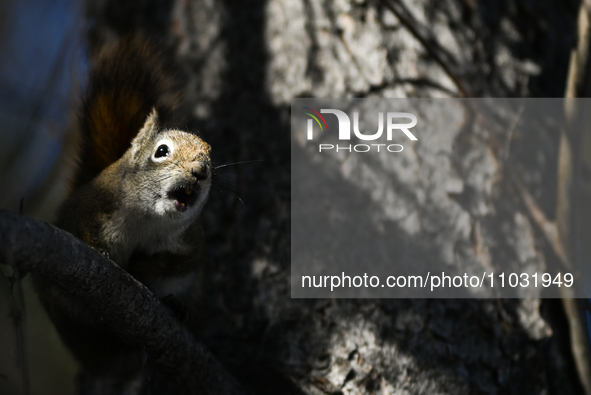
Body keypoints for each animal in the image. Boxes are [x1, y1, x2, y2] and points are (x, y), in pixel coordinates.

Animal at [31, 36, 213, 392]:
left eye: (210, 162)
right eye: (161, 151)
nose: (199, 173)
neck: (148, 220)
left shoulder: (191, 241)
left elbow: (181, 262)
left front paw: (144, 266)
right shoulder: (90, 210)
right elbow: (84, 236)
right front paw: (103, 252)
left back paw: (180, 307)